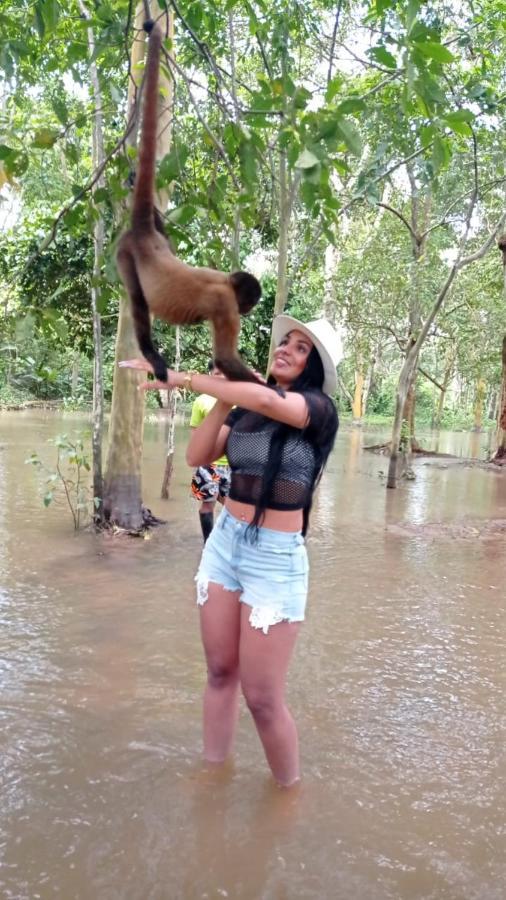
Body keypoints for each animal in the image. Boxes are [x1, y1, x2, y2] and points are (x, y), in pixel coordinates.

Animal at [116, 18, 260, 384]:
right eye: (248, 302)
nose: (247, 310)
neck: (224, 279)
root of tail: (144, 236)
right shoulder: (225, 303)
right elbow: (225, 358)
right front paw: (275, 390)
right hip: (124, 253)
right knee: (137, 300)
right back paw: (151, 354)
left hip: (159, 242)